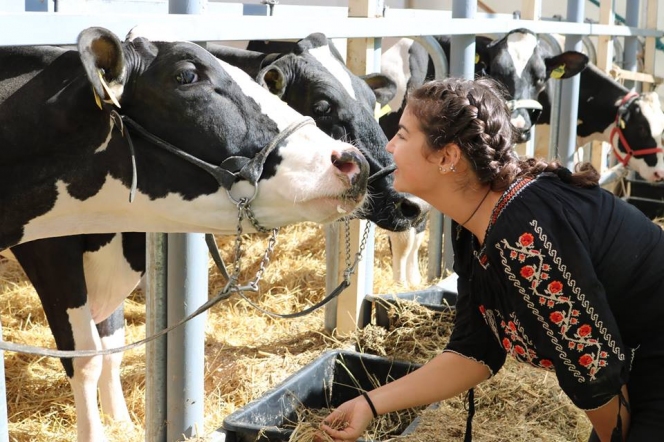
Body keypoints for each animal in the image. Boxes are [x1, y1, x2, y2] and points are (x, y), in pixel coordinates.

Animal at [376, 30, 588, 286]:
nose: (520, 125)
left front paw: (413, 280)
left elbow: (416, 228)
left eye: (540, 78)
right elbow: (404, 234)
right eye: (496, 71)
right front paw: (400, 284)